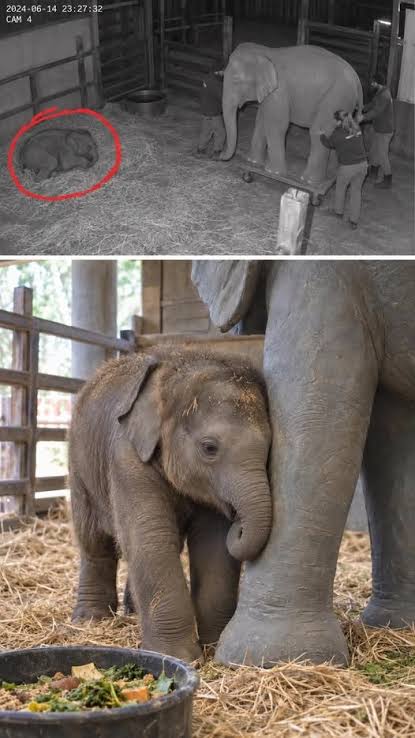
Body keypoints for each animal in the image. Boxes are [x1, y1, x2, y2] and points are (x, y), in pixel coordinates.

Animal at [69, 345, 272, 662]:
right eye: (209, 448)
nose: (237, 521)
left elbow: (213, 544)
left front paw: (214, 647)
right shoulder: (127, 455)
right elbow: (149, 536)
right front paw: (178, 656)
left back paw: (132, 611)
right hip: (80, 468)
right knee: (93, 541)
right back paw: (91, 620)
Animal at [220, 43, 363, 184]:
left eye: (236, 80)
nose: (220, 156)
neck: (265, 52)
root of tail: (356, 78)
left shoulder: (279, 92)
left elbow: (276, 125)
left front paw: (273, 172)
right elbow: (261, 121)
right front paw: (252, 163)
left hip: (336, 97)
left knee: (319, 132)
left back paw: (308, 181)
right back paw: (332, 174)